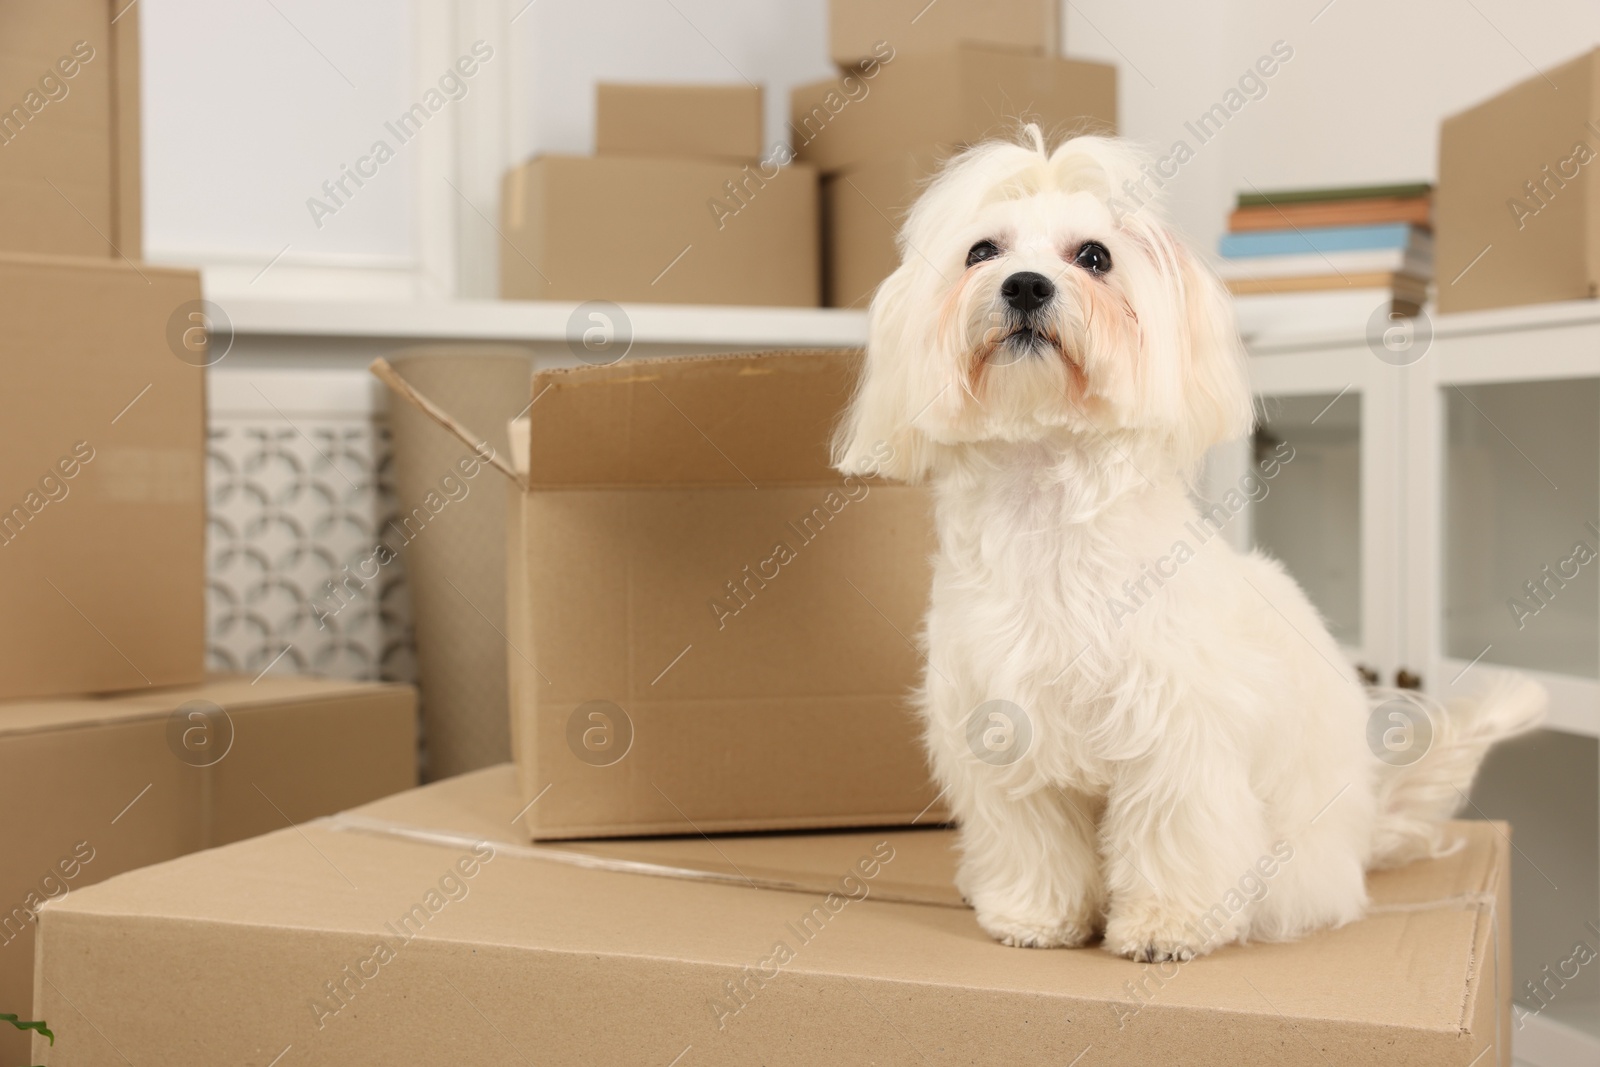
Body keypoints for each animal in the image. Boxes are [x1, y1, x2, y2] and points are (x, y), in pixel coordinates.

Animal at [838, 129, 1548, 966]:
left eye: (1095, 257)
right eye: (982, 250)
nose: (1024, 286)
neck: (1051, 516)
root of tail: (1364, 830)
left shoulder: (1179, 732)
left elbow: (1173, 830)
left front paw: (1164, 925)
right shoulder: (1001, 725)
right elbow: (1033, 838)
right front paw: (1034, 913)